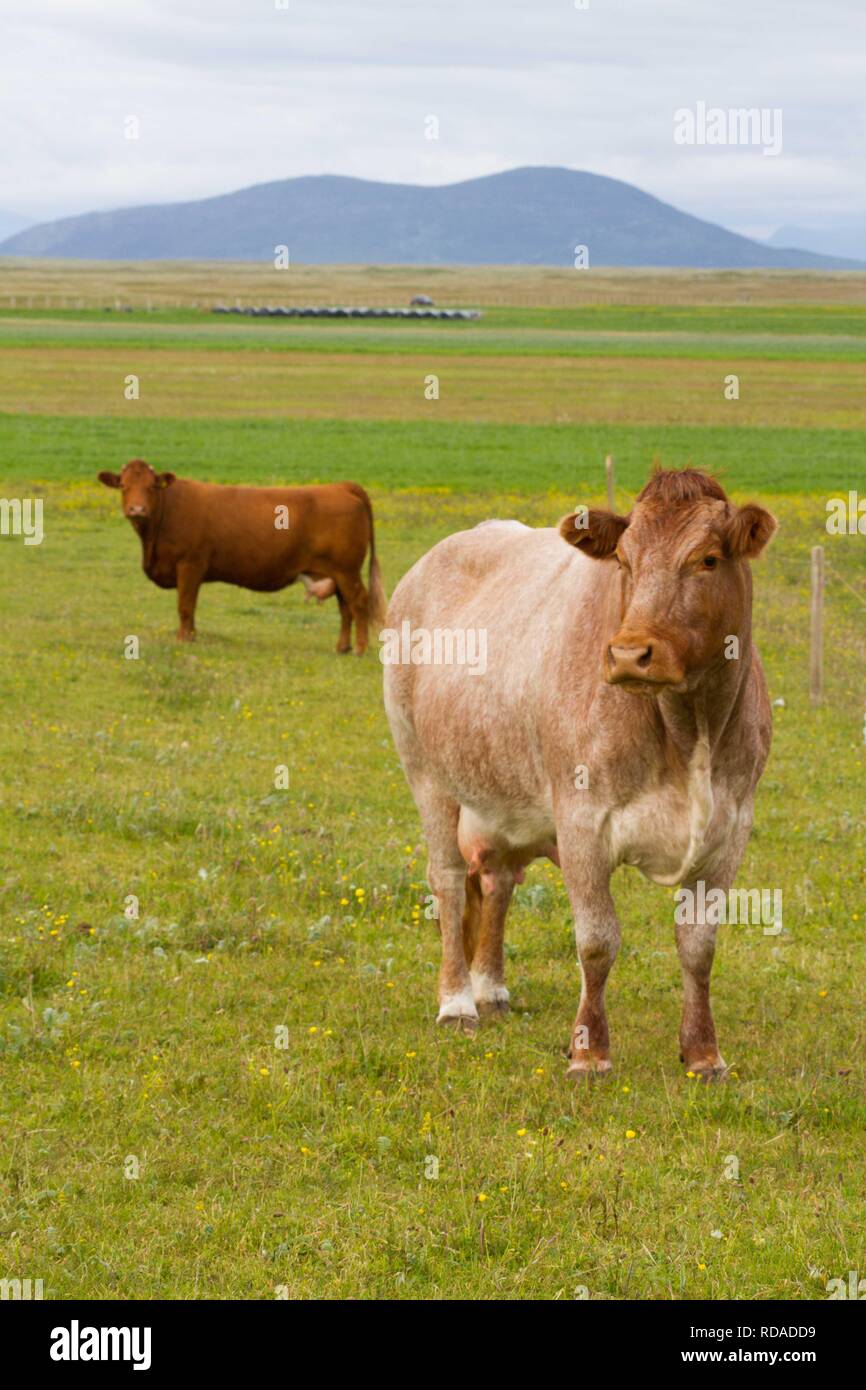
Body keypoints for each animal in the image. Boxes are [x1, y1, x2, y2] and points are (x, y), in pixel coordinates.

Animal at [98, 459, 386, 651]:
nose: (137, 509)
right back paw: (342, 647)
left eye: (151, 486)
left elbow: (185, 606)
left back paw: (360, 649)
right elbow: (190, 607)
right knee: (345, 607)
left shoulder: (190, 564)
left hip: (347, 571)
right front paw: (192, 636)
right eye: (123, 485)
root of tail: (340, 486)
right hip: (337, 573)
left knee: (358, 603)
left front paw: (184, 640)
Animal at [383, 469, 777, 1080]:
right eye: (624, 561)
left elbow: (699, 945)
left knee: (497, 880)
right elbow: (597, 941)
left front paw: (704, 1053)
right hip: (426, 772)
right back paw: (458, 1003)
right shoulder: (582, 821)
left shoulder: (731, 829)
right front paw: (589, 1051)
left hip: (504, 795)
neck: (689, 729)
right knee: (447, 881)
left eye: (709, 559)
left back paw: (490, 989)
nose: (630, 653)